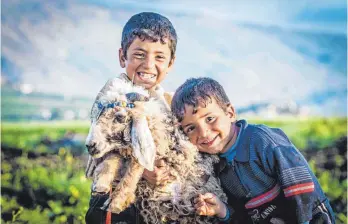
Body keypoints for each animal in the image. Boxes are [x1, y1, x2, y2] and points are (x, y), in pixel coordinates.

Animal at [84, 78, 226, 223]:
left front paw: (116, 201)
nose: (90, 145)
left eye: (119, 117)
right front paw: (101, 183)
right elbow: (112, 157)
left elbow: (134, 166)